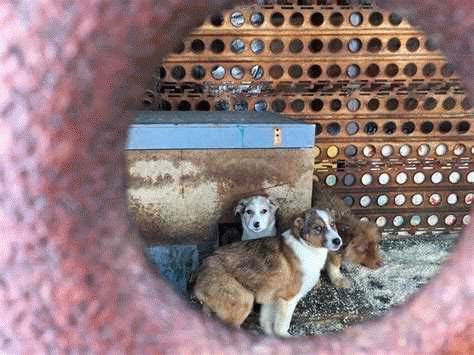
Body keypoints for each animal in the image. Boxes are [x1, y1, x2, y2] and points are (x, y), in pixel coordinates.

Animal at [193, 210, 340, 338]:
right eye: (318, 228)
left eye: (333, 224)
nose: (338, 241)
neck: (305, 246)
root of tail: (199, 271)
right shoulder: (288, 299)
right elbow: (281, 327)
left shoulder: (270, 297)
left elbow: (266, 323)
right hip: (243, 300)